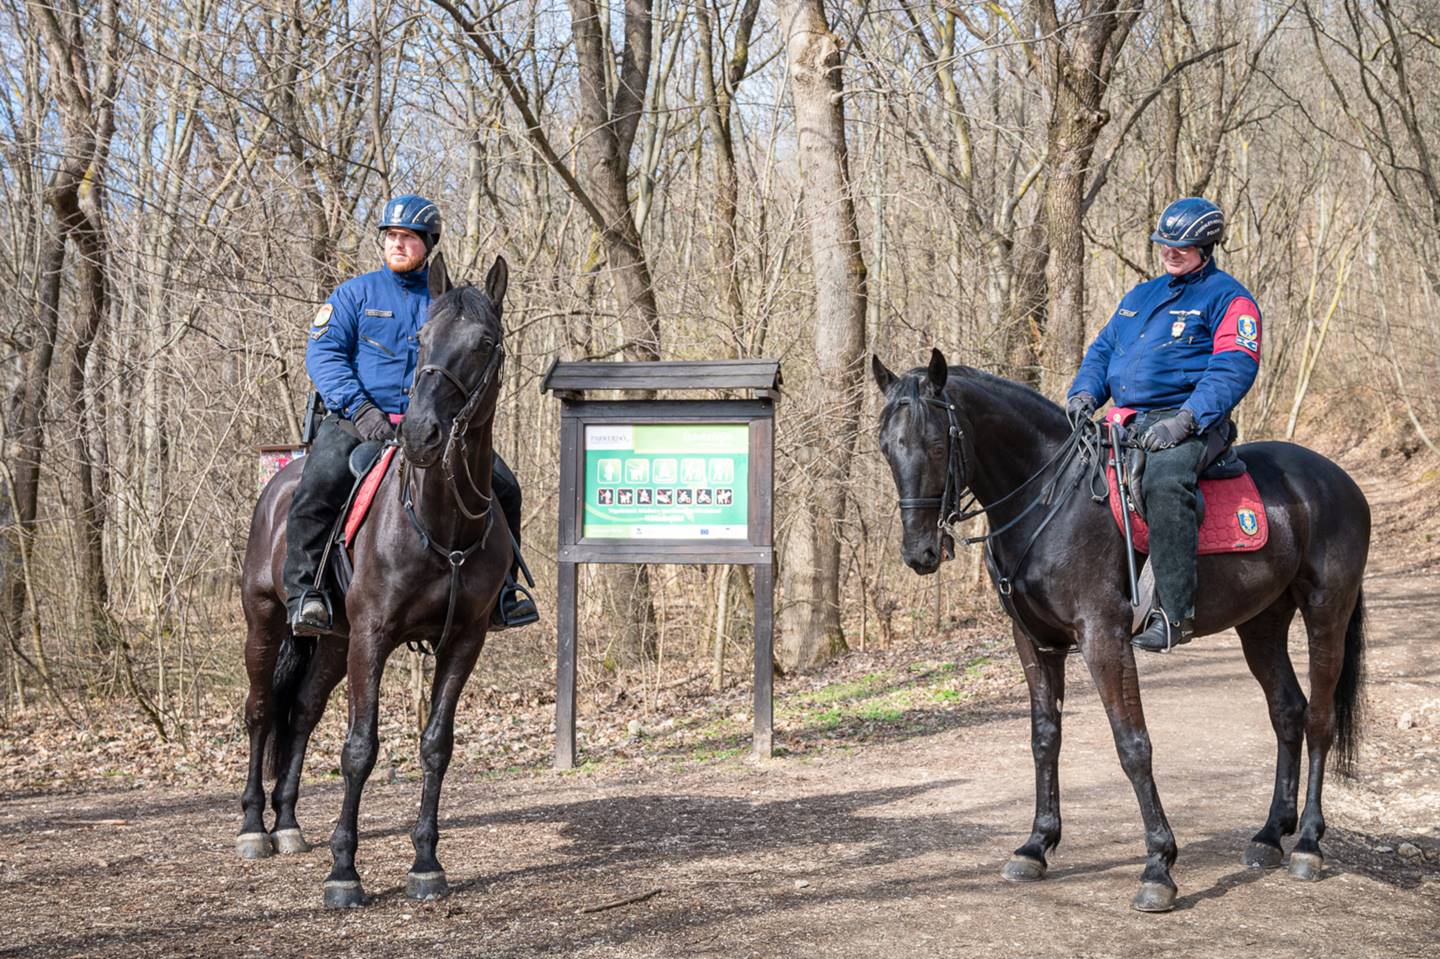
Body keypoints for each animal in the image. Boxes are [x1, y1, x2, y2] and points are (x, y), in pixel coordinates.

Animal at [241, 251, 518, 904]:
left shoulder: (463, 641)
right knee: (262, 711)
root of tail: (279, 481)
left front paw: (425, 863)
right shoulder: (372, 636)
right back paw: (253, 828)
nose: (418, 434)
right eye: (421, 339)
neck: (442, 525)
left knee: (302, 714)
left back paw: (287, 823)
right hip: (267, 623)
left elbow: (436, 747)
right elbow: (359, 749)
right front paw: (344, 872)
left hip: (332, 643)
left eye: (485, 341)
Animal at [869, 351, 1365, 910]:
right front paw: (1036, 845)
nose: (920, 553)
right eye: (887, 447)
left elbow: (1133, 745)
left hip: (1327, 613)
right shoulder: (1035, 642)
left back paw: (1307, 843)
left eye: (936, 444)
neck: (1050, 500)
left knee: (1319, 718)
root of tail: (1335, 480)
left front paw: (1158, 865)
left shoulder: (1102, 637)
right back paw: (1268, 836)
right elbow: (1045, 738)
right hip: (1261, 624)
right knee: (1287, 712)